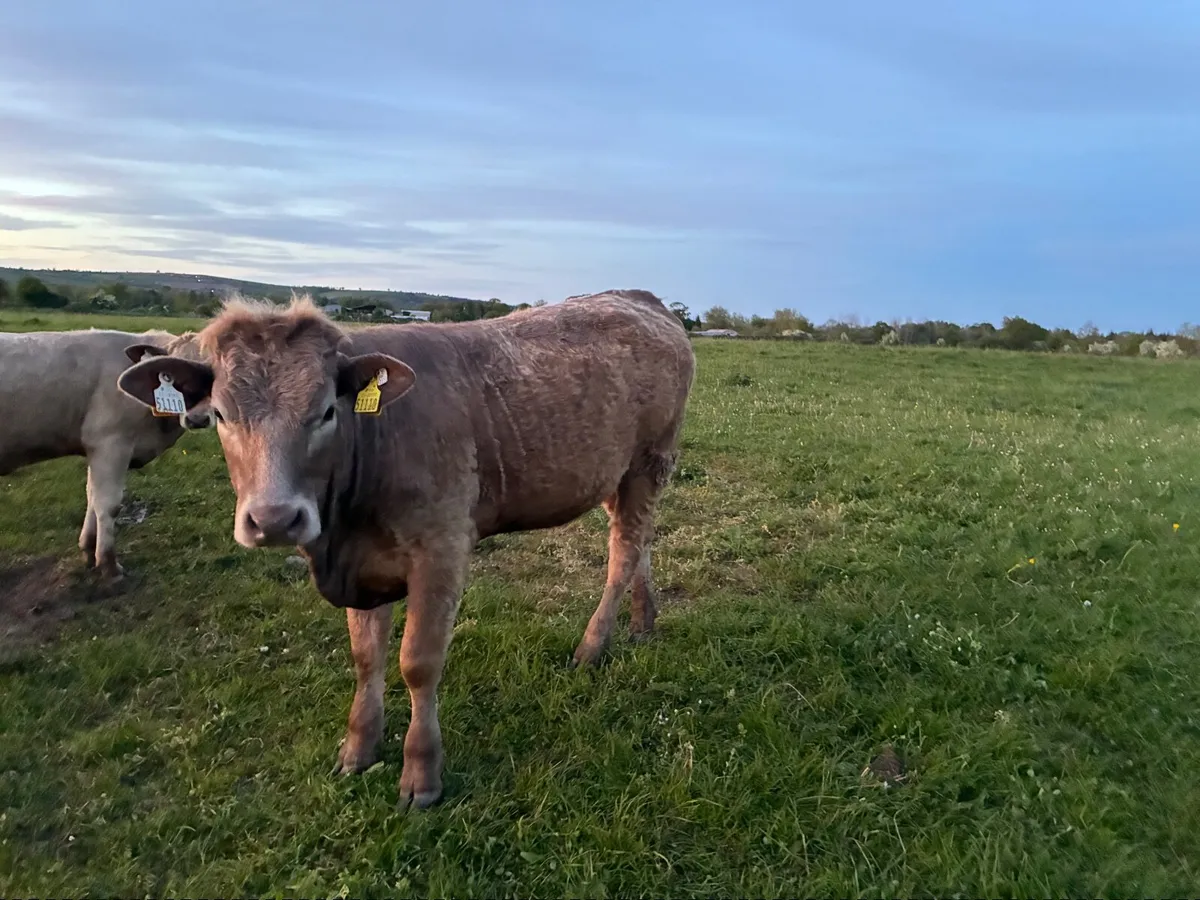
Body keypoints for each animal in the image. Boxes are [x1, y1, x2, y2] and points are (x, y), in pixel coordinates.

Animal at [0, 328, 213, 578]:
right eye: (175, 380)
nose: (197, 419)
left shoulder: (97, 450)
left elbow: (92, 495)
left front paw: (88, 547)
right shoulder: (111, 443)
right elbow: (109, 504)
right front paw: (108, 564)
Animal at [117, 289, 695, 809]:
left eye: (326, 412)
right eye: (219, 415)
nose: (275, 519)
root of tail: (641, 299)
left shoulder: (442, 548)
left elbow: (417, 661)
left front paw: (422, 775)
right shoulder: (363, 565)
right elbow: (365, 655)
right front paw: (358, 747)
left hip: (649, 461)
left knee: (624, 552)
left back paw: (592, 647)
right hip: (614, 475)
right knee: (638, 538)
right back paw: (643, 621)